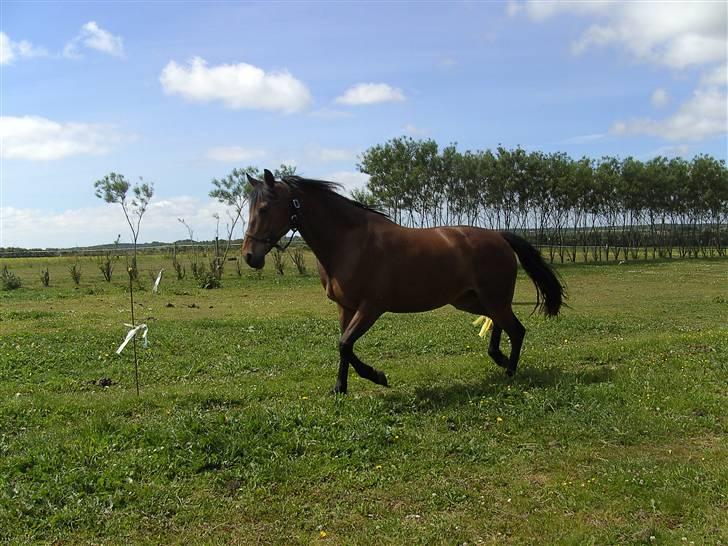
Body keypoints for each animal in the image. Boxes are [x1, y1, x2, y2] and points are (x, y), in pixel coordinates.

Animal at [242, 169, 564, 392]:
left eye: (264, 209)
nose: (249, 256)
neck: (349, 242)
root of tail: (499, 237)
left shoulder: (370, 308)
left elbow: (345, 344)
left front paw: (378, 376)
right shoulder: (345, 308)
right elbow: (343, 346)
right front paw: (340, 389)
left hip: (493, 299)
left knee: (517, 330)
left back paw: (509, 371)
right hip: (471, 300)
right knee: (501, 324)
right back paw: (499, 359)